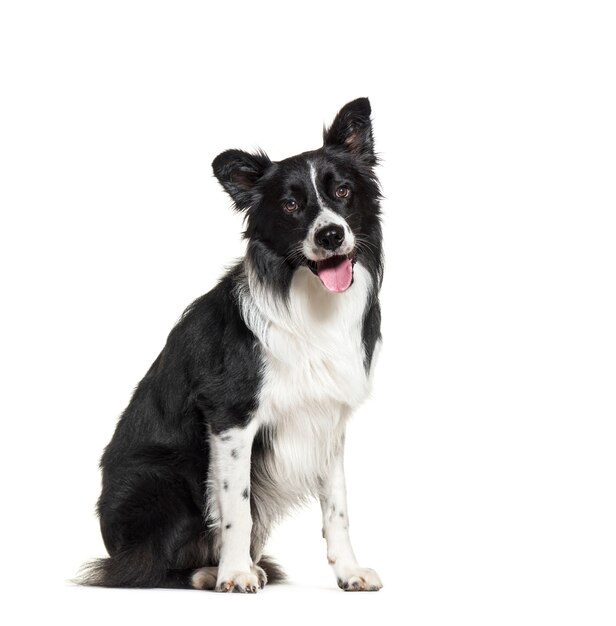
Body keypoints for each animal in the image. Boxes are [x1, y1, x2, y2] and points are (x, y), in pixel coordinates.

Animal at [79, 97, 382, 588]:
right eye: (291, 205)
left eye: (342, 192)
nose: (331, 234)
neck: (308, 300)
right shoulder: (231, 417)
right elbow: (236, 508)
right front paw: (235, 574)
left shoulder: (328, 418)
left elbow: (337, 505)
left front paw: (349, 571)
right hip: (164, 481)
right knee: (144, 566)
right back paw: (208, 572)